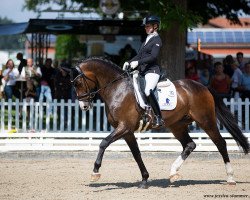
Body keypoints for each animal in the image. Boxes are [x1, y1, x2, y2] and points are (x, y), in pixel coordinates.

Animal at [71, 57, 250, 188]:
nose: (84, 106)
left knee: (220, 143)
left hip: (206, 121)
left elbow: (103, 143)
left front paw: (95, 172)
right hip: (177, 125)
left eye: (78, 83)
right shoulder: (127, 131)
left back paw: (230, 178)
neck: (117, 89)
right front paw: (144, 180)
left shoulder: (124, 127)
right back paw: (173, 172)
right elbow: (136, 154)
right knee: (190, 145)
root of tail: (203, 87)